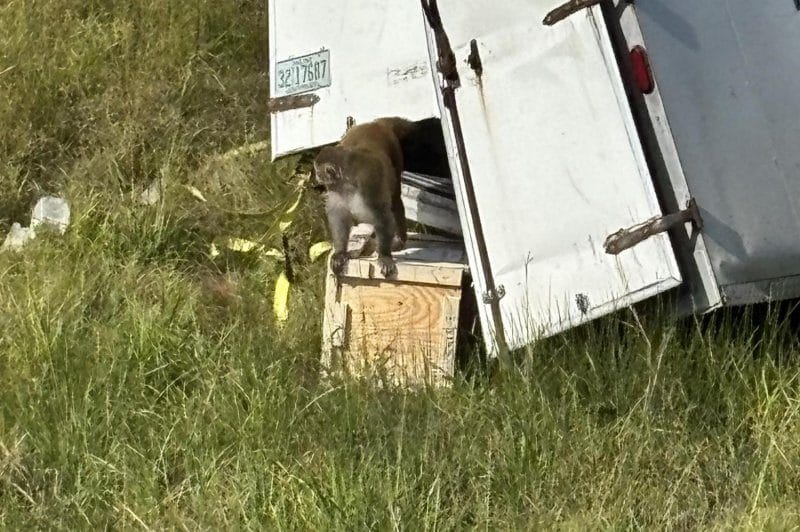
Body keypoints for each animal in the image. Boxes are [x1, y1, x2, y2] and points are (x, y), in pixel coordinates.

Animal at [314, 117, 413, 279]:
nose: (316, 176)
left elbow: (382, 217)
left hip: (395, 152)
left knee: (395, 200)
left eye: (318, 171)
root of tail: (375, 123)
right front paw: (340, 253)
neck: (347, 182)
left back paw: (399, 239)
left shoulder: (368, 184)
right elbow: (339, 217)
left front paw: (384, 256)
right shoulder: (336, 190)